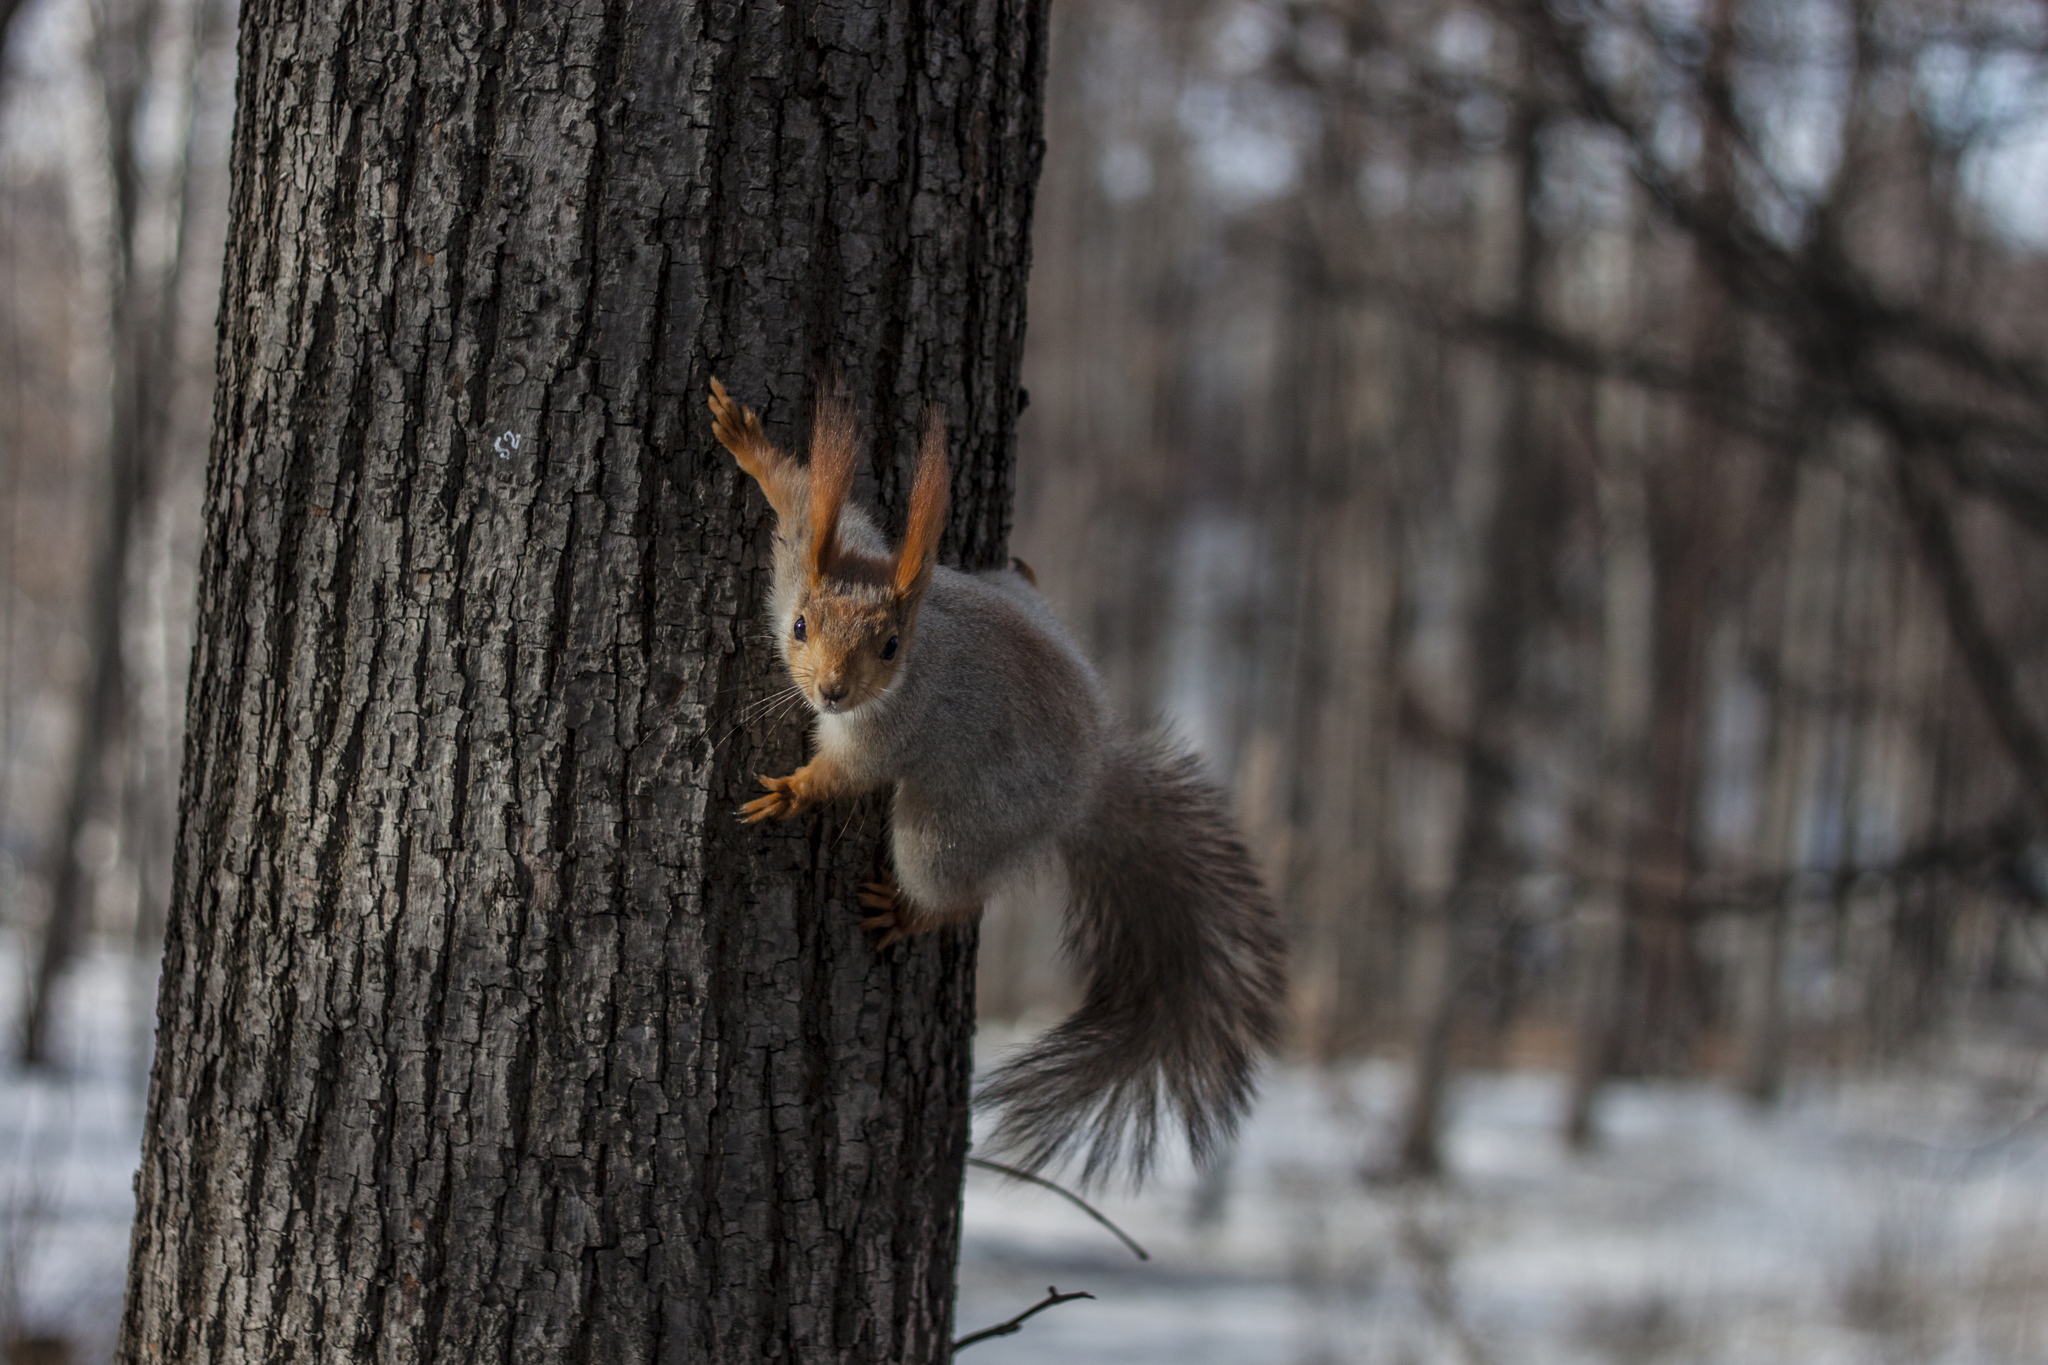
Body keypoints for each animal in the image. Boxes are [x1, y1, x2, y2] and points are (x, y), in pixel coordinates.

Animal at [704, 376, 1277, 1186]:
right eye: (800, 628)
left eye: (889, 646)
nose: (832, 693)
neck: (921, 645)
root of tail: (1088, 784)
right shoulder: (813, 561)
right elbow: (805, 500)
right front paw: (748, 442)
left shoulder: (890, 730)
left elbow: (848, 775)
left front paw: (791, 792)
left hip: (951, 826)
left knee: (957, 890)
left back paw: (911, 913)